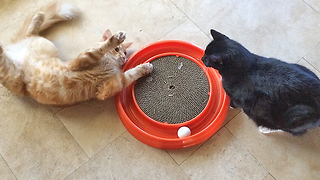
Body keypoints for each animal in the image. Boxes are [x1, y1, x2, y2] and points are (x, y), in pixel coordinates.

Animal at [0, 1, 154, 105]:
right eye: (117, 50)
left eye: (125, 52)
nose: (123, 57)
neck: (110, 64)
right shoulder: (78, 62)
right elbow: (98, 50)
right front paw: (115, 38)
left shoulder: (107, 87)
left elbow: (129, 75)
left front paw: (145, 68)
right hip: (15, 75)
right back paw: (38, 16)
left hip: (40, 46)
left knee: (30, 32)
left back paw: (39, 16)